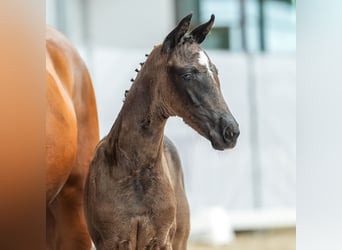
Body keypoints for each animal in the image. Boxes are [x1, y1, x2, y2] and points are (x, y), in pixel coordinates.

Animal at [84, 14, 239, 250]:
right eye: (187, 74)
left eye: (215, 71)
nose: (230, 131)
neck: (135, 170)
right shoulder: (112, 241)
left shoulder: (160, 240)